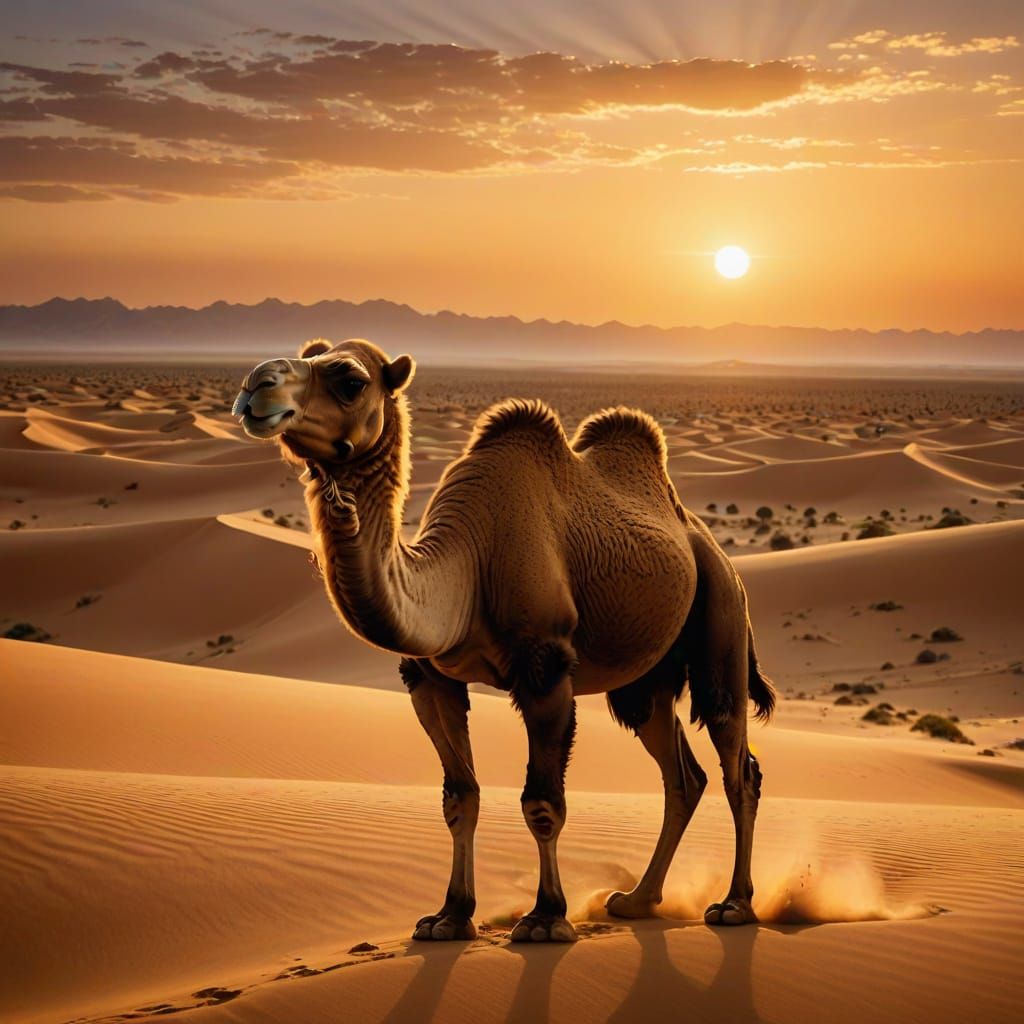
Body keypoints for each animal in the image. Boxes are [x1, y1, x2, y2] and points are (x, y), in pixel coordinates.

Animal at [233, 338, 775, 943]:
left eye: (350, 380)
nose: (256, 385)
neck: (467, 567)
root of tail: (710, 544)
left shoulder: (546, 670)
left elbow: (542, 802)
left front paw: (545, 917)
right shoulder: (430, 678)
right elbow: (459, 797)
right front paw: (449, 916)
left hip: (721, 617)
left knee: (737, 763)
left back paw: (735, 904)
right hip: (643, 683)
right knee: (682, 773)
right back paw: (637, 901)